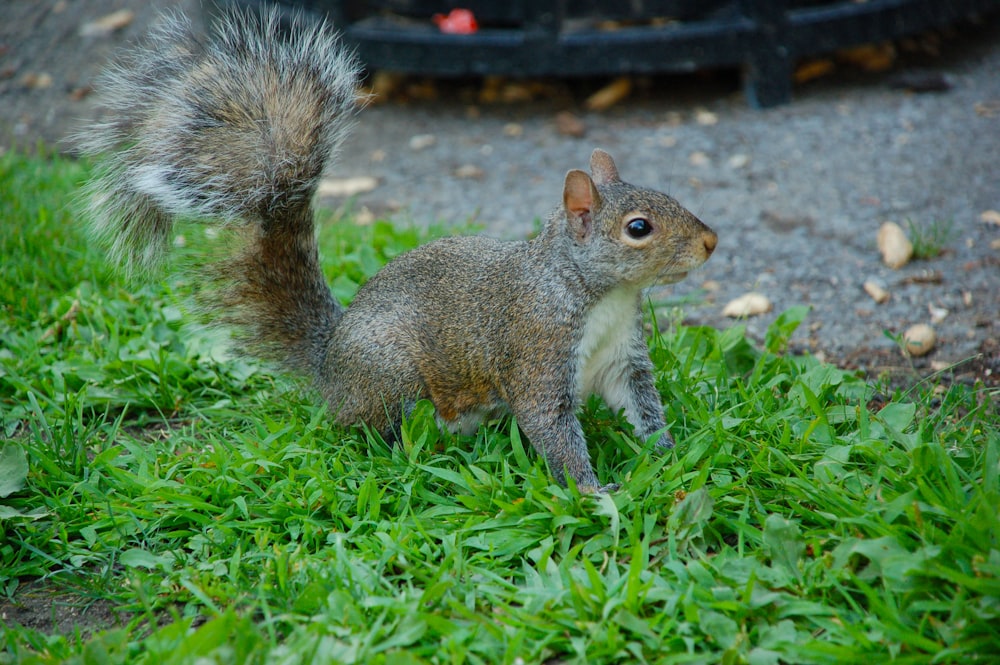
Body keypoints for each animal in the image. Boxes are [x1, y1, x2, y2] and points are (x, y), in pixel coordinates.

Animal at [80, 7, 720, 490]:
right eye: (638, 228)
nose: (711, 242)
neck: (600, 294)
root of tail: (330, 362)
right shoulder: (537, 350)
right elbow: (552, 428)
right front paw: (594, 491)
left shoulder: (623, 360)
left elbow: (642, 406)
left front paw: (668, 454)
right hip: (392, 374)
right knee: (369, 429)